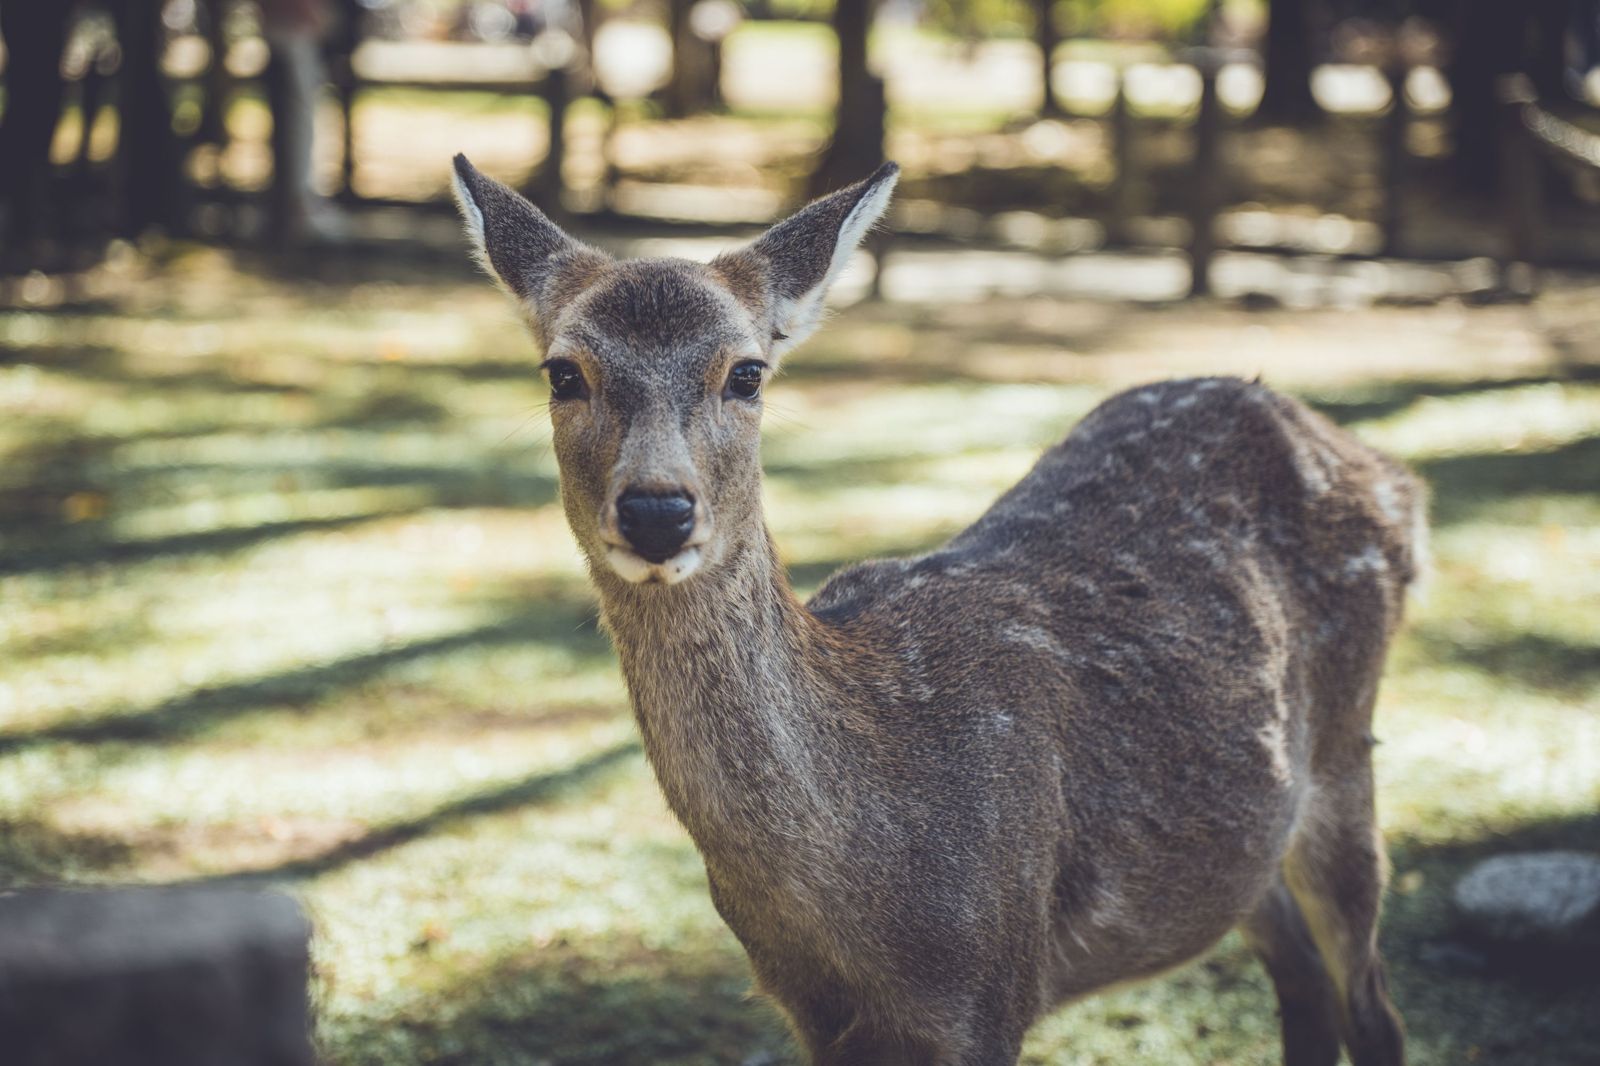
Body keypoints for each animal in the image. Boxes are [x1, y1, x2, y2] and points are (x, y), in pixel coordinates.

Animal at [450, 154, 1424, 1066]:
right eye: (562, 373)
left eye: (748, 373)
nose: (658, 509)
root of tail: (1392, 474)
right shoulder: (813, 1014)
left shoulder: (992, 986)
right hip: (1251, 840)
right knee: (1304, 981)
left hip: (1346, 754)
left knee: (1373, 1006)